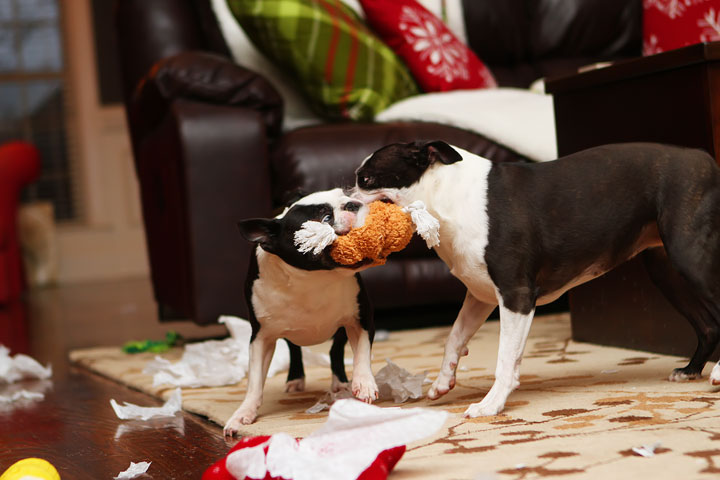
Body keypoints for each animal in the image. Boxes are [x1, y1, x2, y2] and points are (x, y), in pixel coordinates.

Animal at [225, 188, 380, 436]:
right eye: (325, 217)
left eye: (343, 195)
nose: (352, 203)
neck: (312, 278)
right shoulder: (261, 337)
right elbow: (255, 381)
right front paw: (242, 414)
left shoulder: (360, 320)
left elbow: (362, 355)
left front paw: (364, 383)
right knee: (294, 349)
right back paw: (295, 379)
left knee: (335, 351)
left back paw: (340, 383)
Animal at [352, 141, 720, 418]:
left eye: (366, 179)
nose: (348, 199)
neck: (446, 196)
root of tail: (706, 159)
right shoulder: (482, 296)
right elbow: (455, 337)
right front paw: (443, 382)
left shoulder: (516, 296)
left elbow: (504, 359)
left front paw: (490, 404)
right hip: (666, 271)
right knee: (708, 325)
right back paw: (690, 370)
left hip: (690, 257)